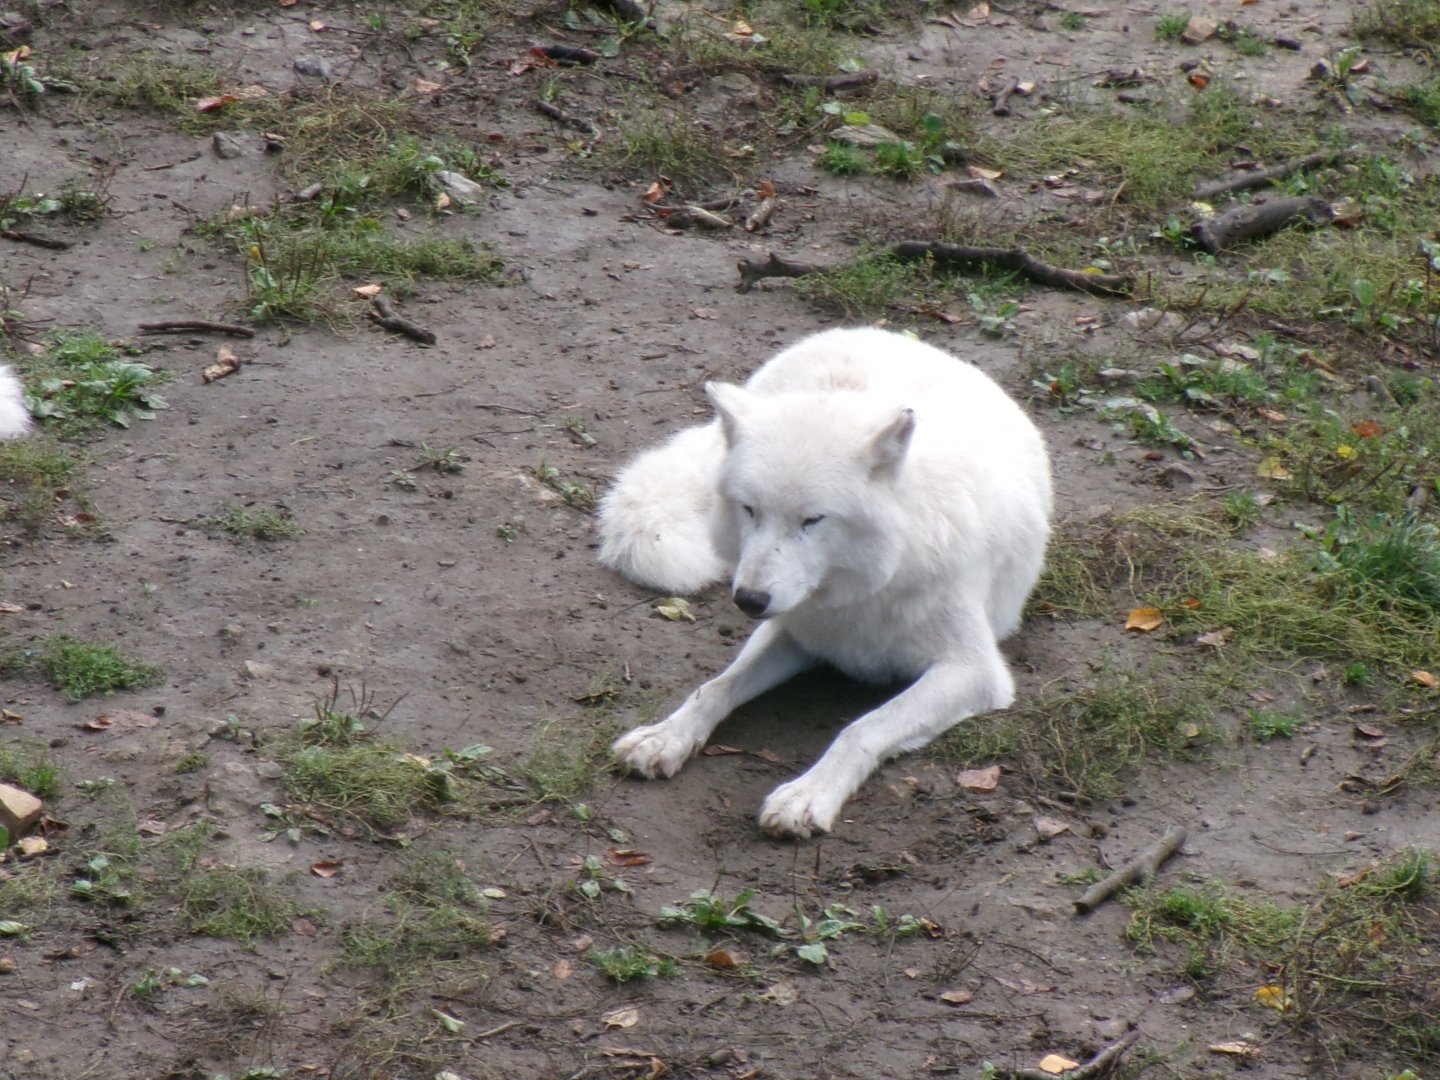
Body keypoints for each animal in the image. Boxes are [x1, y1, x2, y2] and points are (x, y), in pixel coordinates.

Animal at [597, 327, 1052, 838]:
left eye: (812, 520)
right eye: (750, 509)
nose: (748, 601)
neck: (868, 588)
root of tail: (869, 331)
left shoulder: (974, 671)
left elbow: (862, 728)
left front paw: (808, 795)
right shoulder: (792, 630)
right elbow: (714, 688)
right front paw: (664, 737)